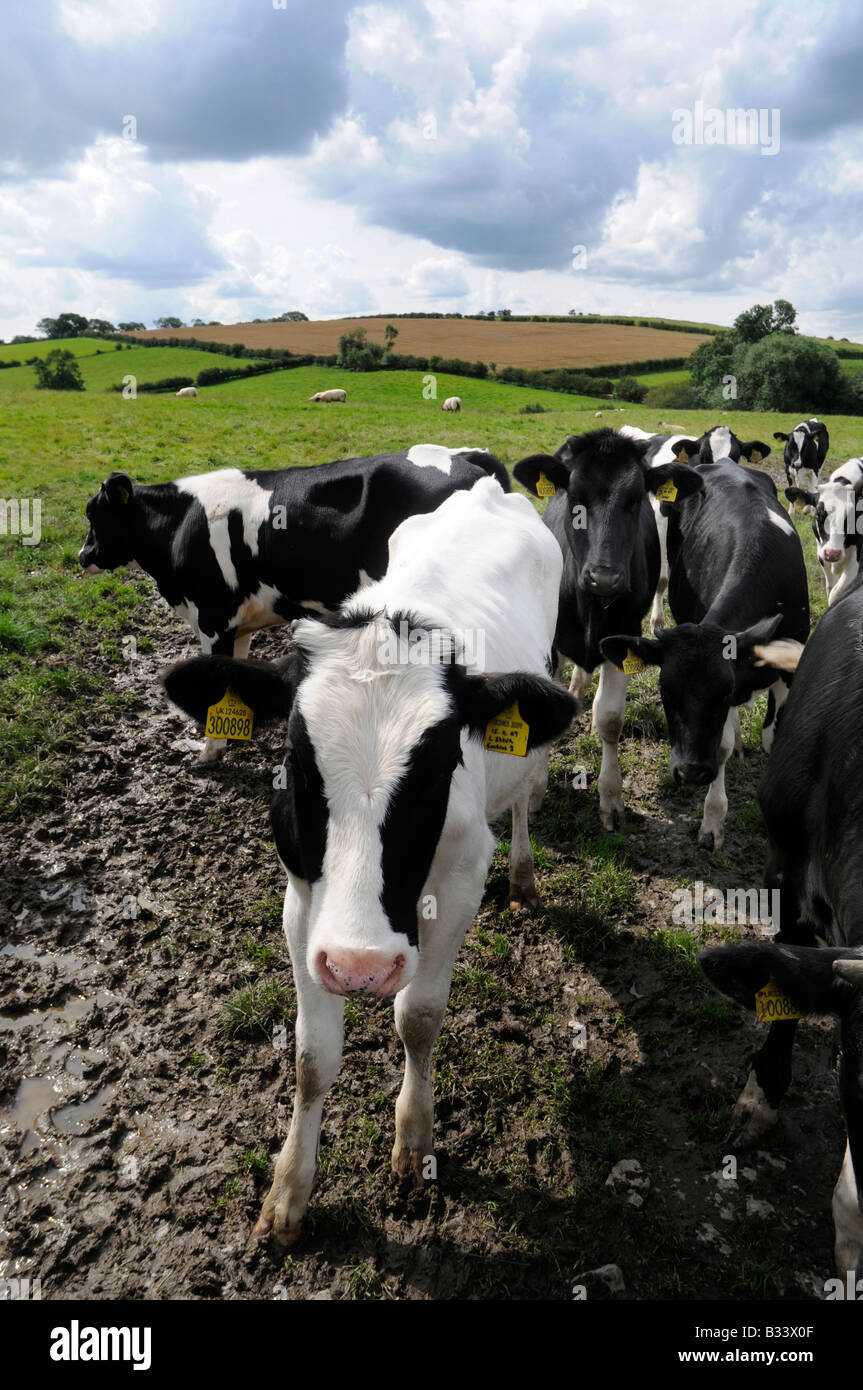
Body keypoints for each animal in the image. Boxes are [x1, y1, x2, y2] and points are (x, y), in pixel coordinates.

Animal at [79, 445, 510, 760]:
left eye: (96, 515)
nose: (82, 557)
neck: (181, 524)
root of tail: (463, 456)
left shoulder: (213, 619)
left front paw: (208, 753)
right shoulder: (237, 627)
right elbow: (232, 680)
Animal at [159, 477, 578, 1246]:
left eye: (439, 763)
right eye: (296, 760)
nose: (359, 967)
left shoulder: (460, 880)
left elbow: (418, 1016)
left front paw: (413, 1139)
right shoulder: (303, 901)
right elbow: (310, 1057)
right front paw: (289, 1193)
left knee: (525, 794)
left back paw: (526, 874)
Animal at [514, 429, 700, 830]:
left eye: (634, 501)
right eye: (575, 499)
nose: (605, 577)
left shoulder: (622, 638)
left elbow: (611, 720)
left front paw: (611, 798)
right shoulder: (549, 646)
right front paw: (535, 793)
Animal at [600, 446, 809, 849]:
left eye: (724, 691)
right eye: (665, 690)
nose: (692, 772)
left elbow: (770, 737)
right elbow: (723, 744)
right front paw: (713, 819)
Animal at [786, 458, 863, 607]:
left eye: (852, 517)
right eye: (818, 514)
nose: (832, 553)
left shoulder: (856, 557)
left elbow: (836, 594)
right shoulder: (821, 552)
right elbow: (830, 587)